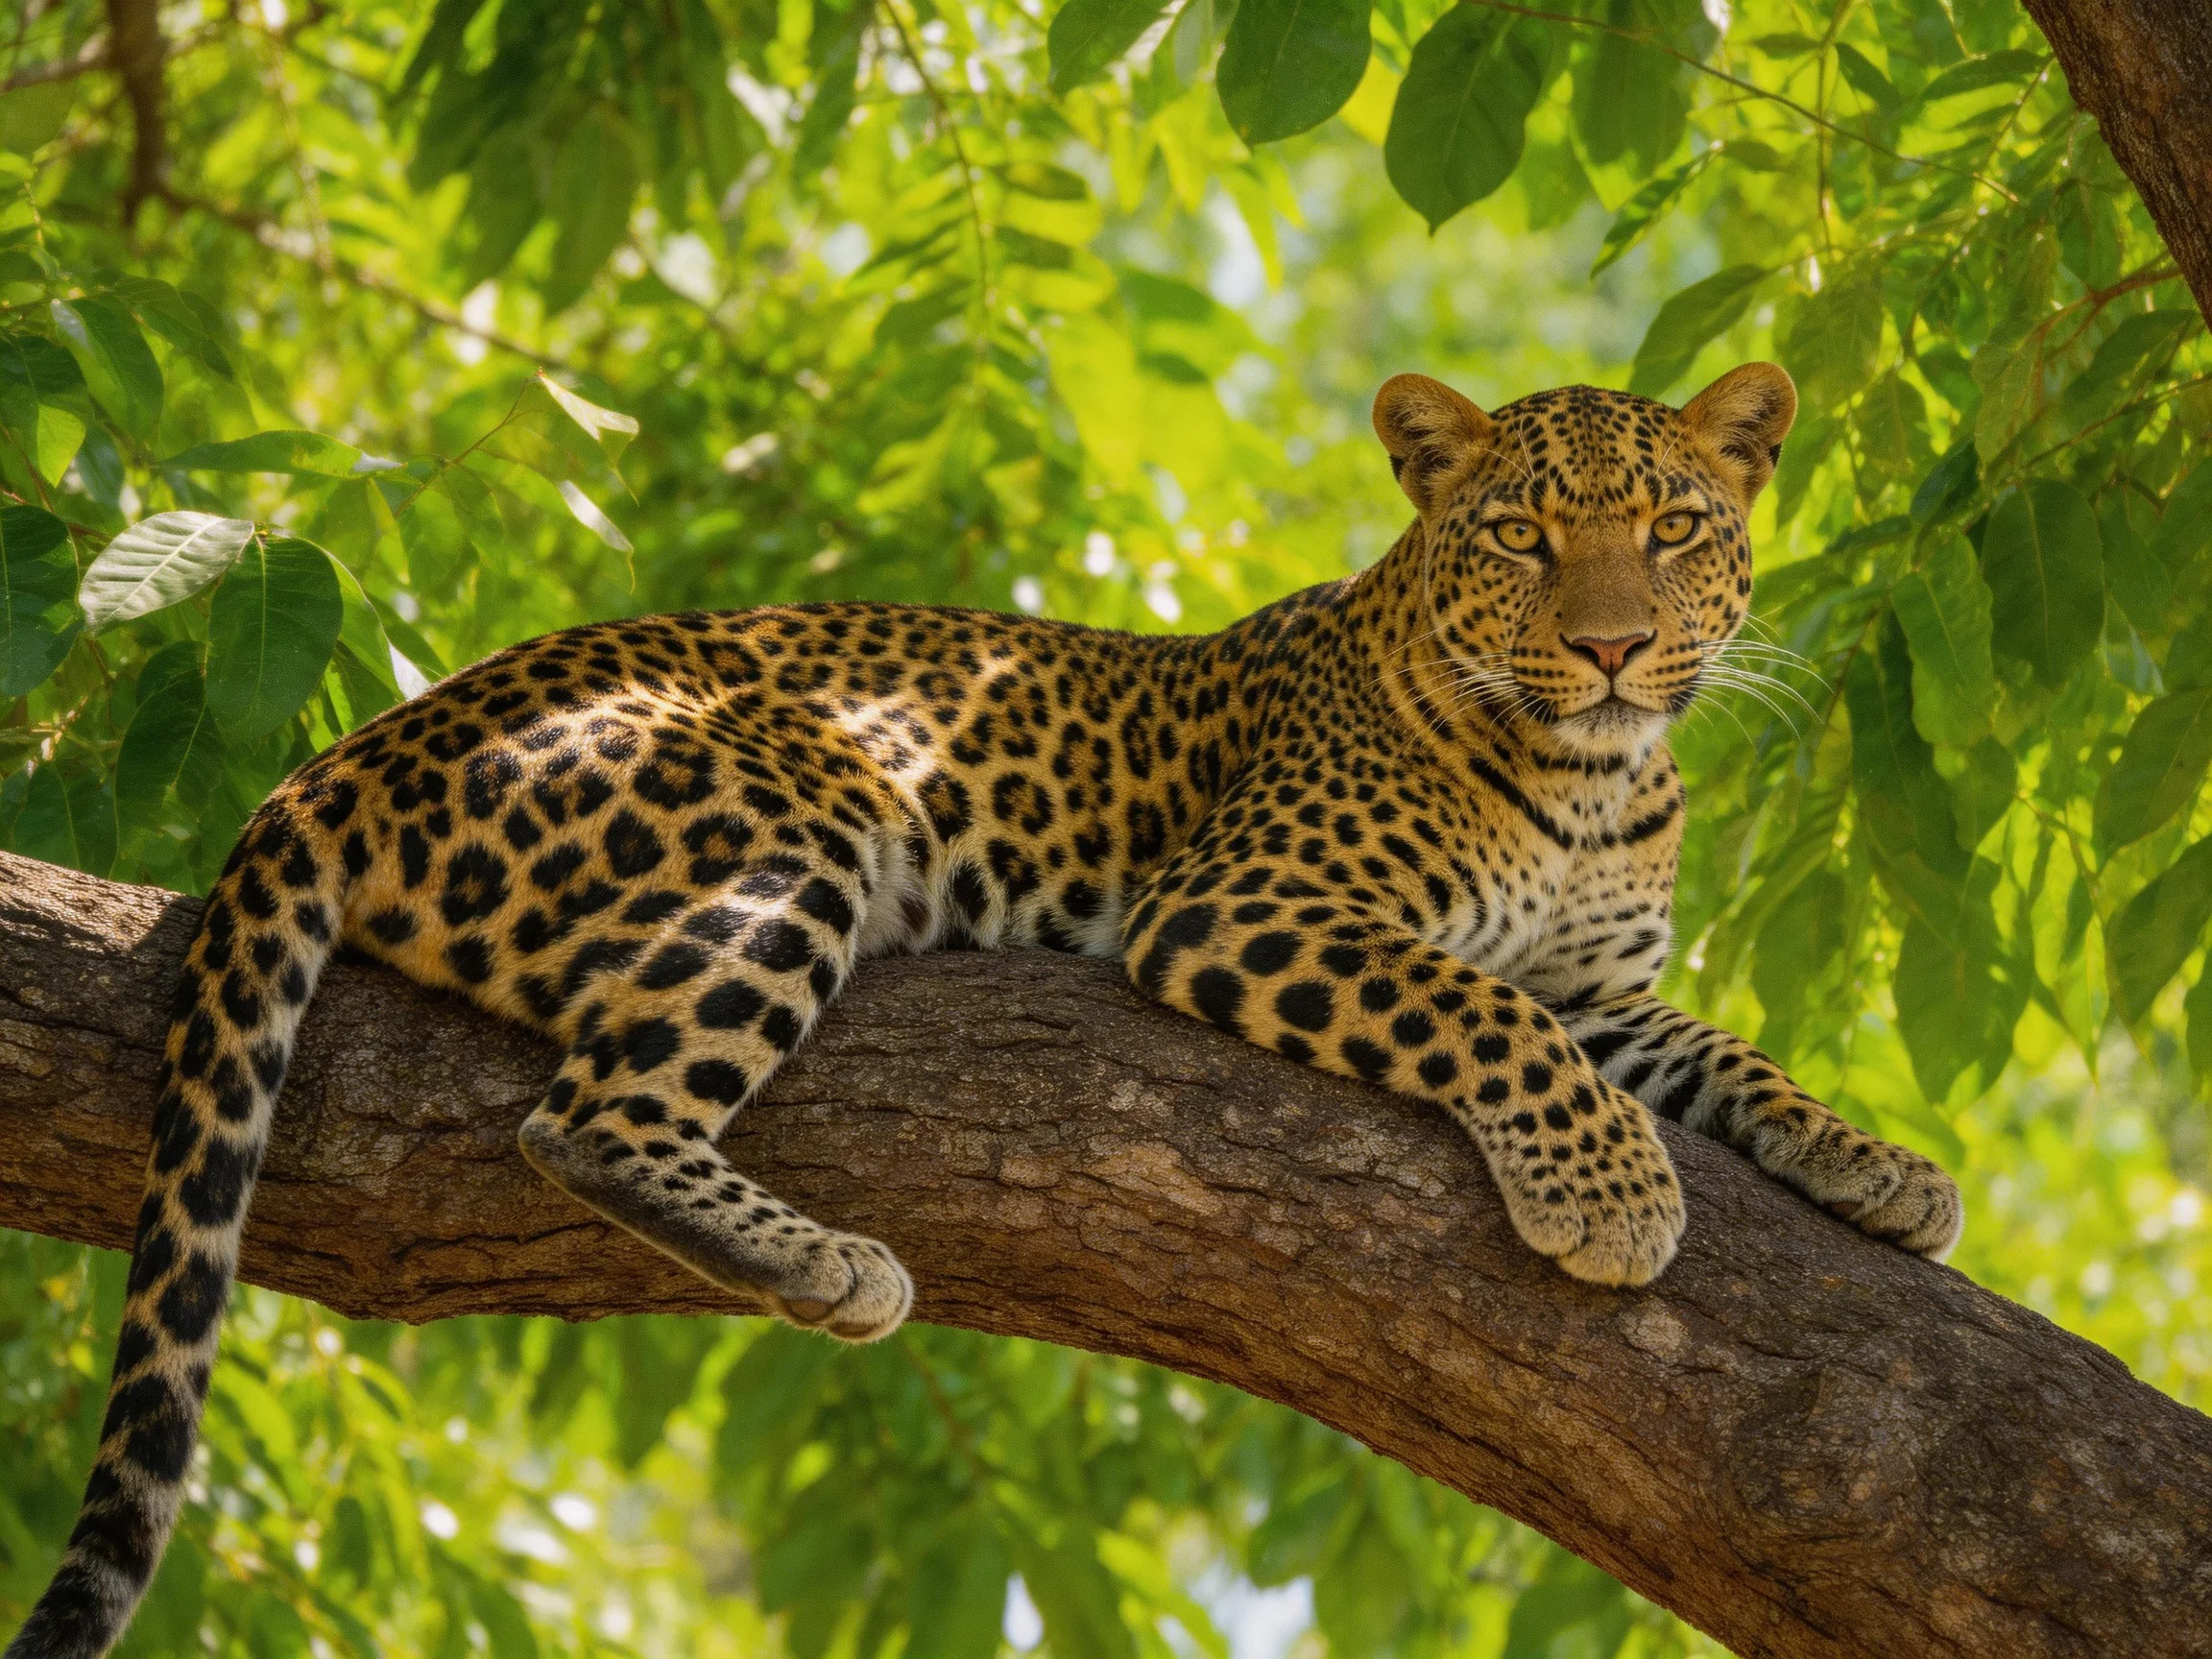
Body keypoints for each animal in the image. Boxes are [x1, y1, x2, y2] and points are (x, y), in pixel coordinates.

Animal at [8, 361, 1962, 1659]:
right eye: (1522, 537)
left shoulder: (1604, 984)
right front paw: (1608, 1194)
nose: (1618, 646)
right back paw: (831, 1266)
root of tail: (338, 754)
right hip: (801, 812)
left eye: (1671, 529)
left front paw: (1882, 1170)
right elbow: (1488, 1018)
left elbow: (1717, 1050)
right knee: (589, 1113)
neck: (1589, 777)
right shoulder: (1246, 906)